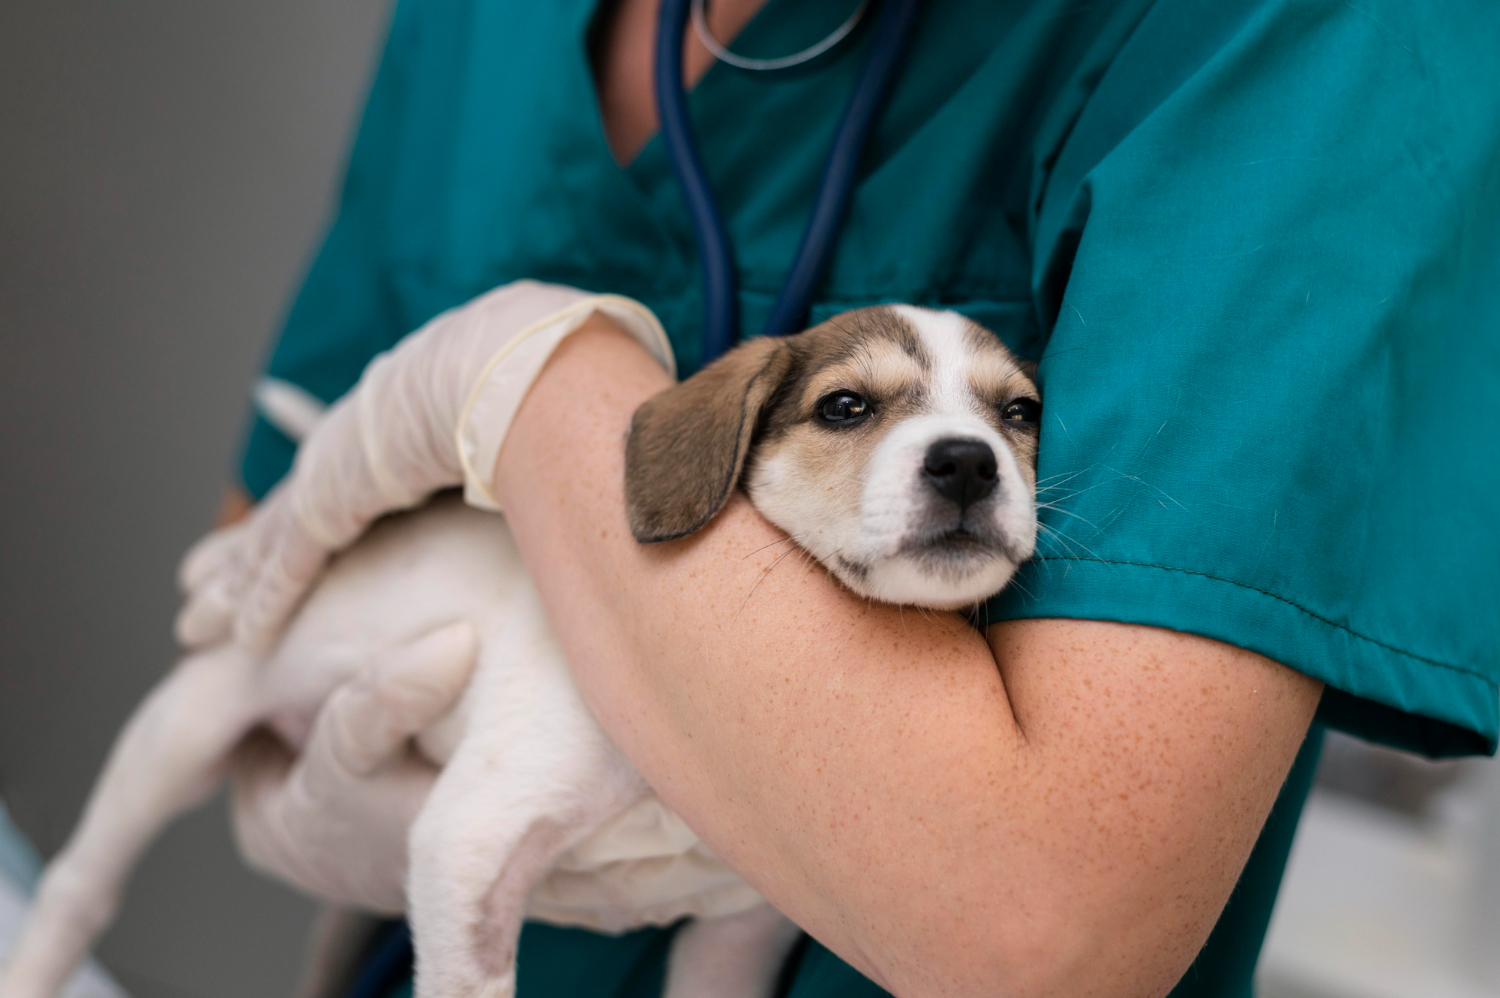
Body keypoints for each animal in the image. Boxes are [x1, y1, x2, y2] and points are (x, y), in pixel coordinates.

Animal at [0, 303, 1038, 996]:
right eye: (846, 407)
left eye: (1019, 413)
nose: (967, 463)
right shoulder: (468, 843)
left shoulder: (736, 934)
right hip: (184, 724)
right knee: (79, 887)